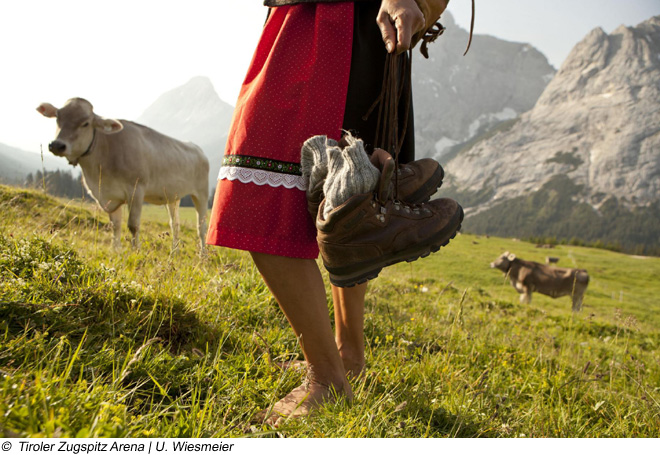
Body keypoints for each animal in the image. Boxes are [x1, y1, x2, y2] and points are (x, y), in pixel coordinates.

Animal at [37, 98, 208, 253]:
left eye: (85, 123)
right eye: (57, 118)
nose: (57, 145)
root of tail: (196, 148)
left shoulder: (136, 190)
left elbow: (133, 225)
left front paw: (135, 252)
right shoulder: (109, 197)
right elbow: (115, 225)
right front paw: (116, 251)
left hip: (201, 194)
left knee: (201, 227)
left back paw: (203, 255)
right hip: (173, 197)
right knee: (175, 224)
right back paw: (174, 252)